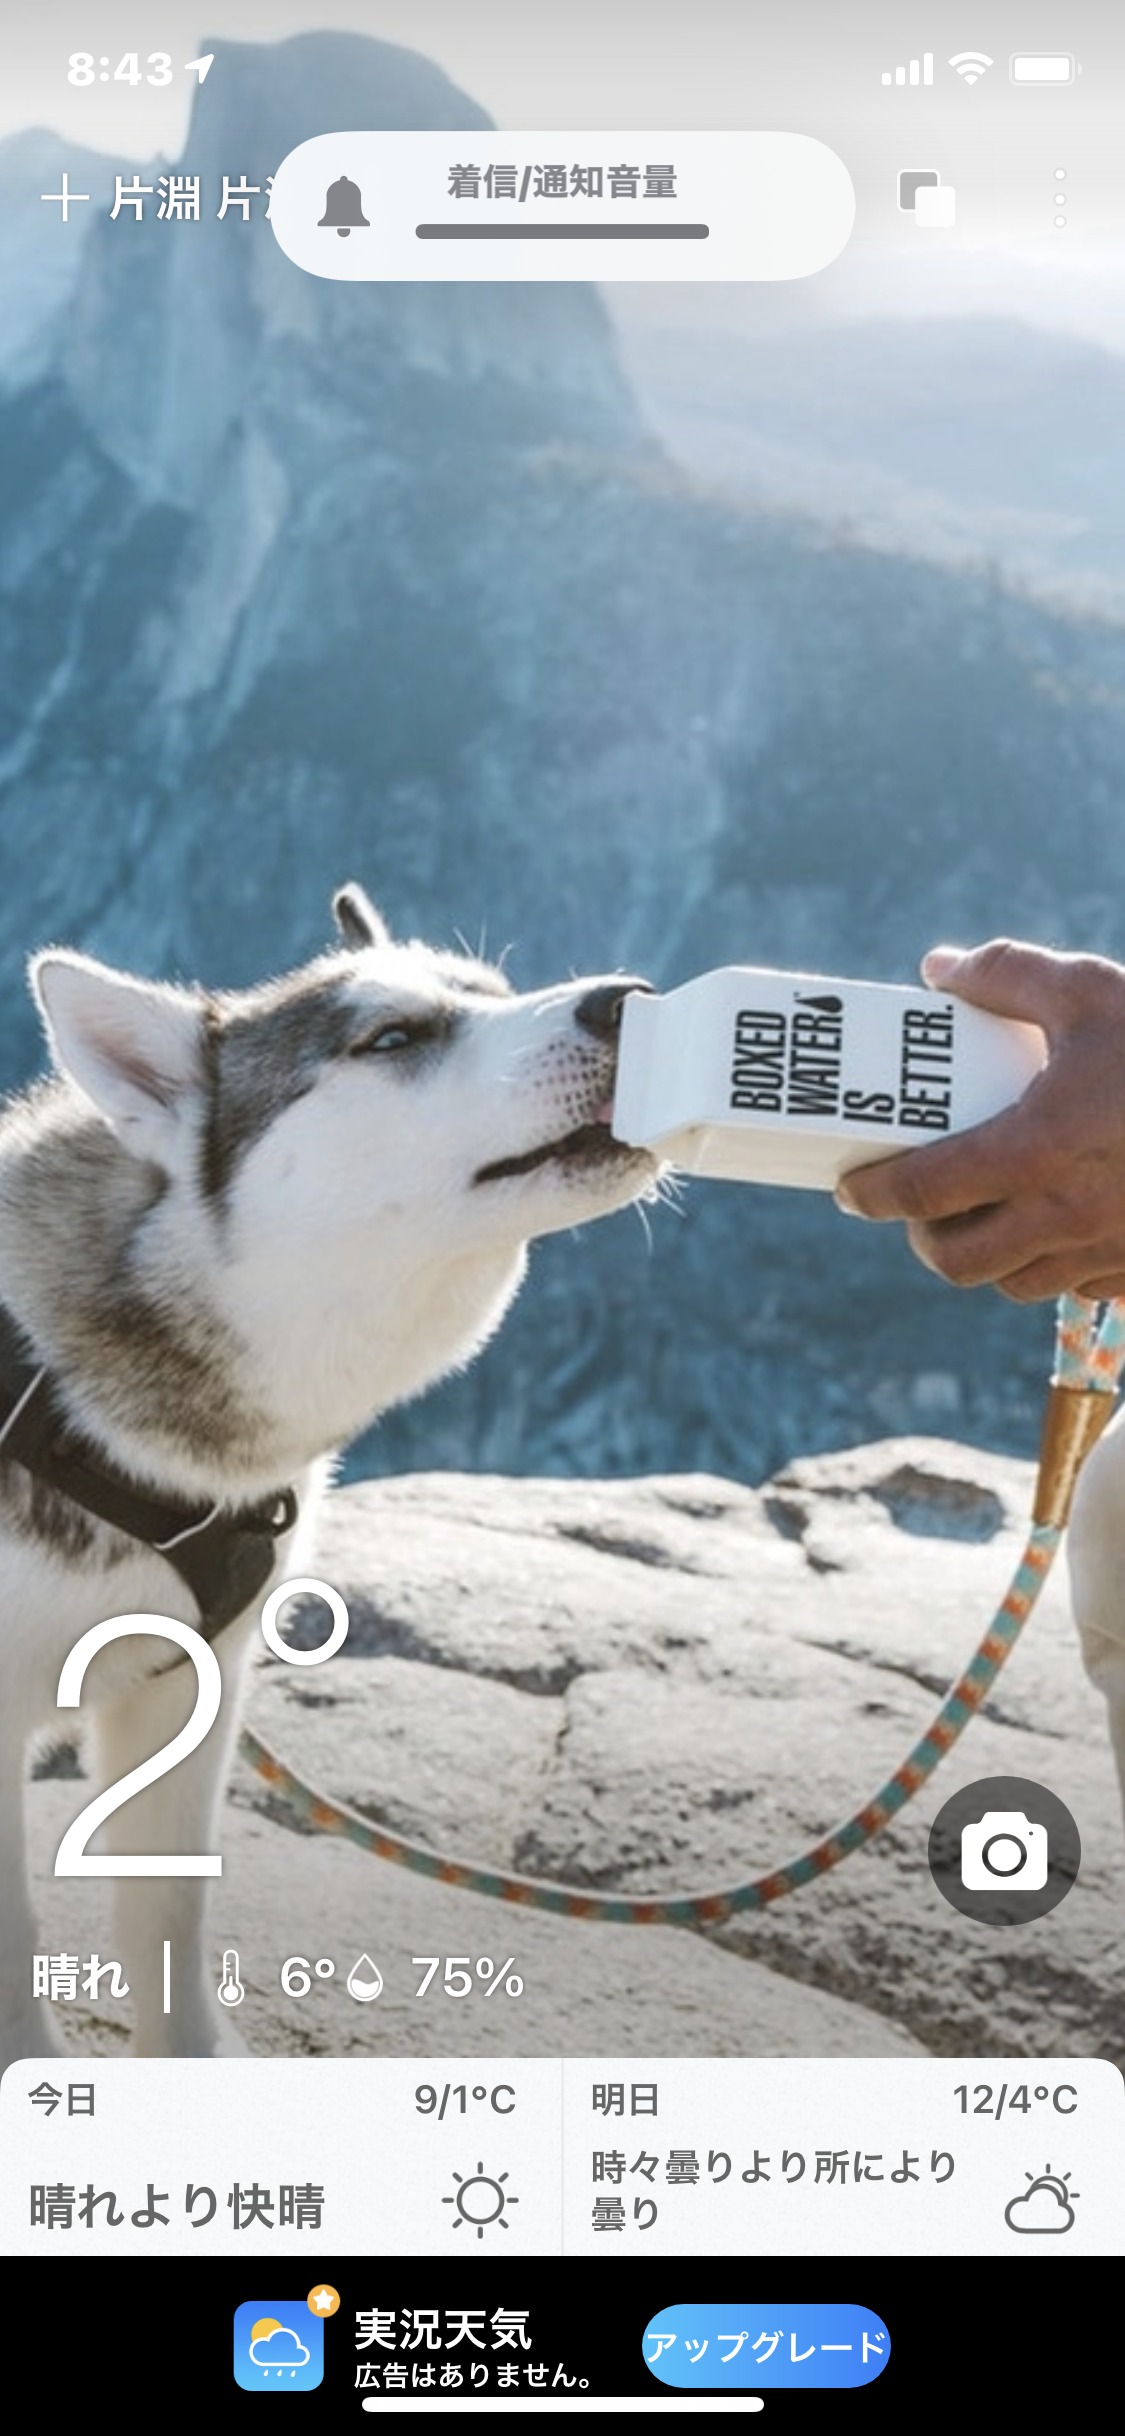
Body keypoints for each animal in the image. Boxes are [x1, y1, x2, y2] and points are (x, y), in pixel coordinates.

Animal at [0, 886, 652, 2065]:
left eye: (491, 992)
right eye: (390, 1039)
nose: (627, 998)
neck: (67, 1401)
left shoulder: (192, 1690)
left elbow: (169, 1908)